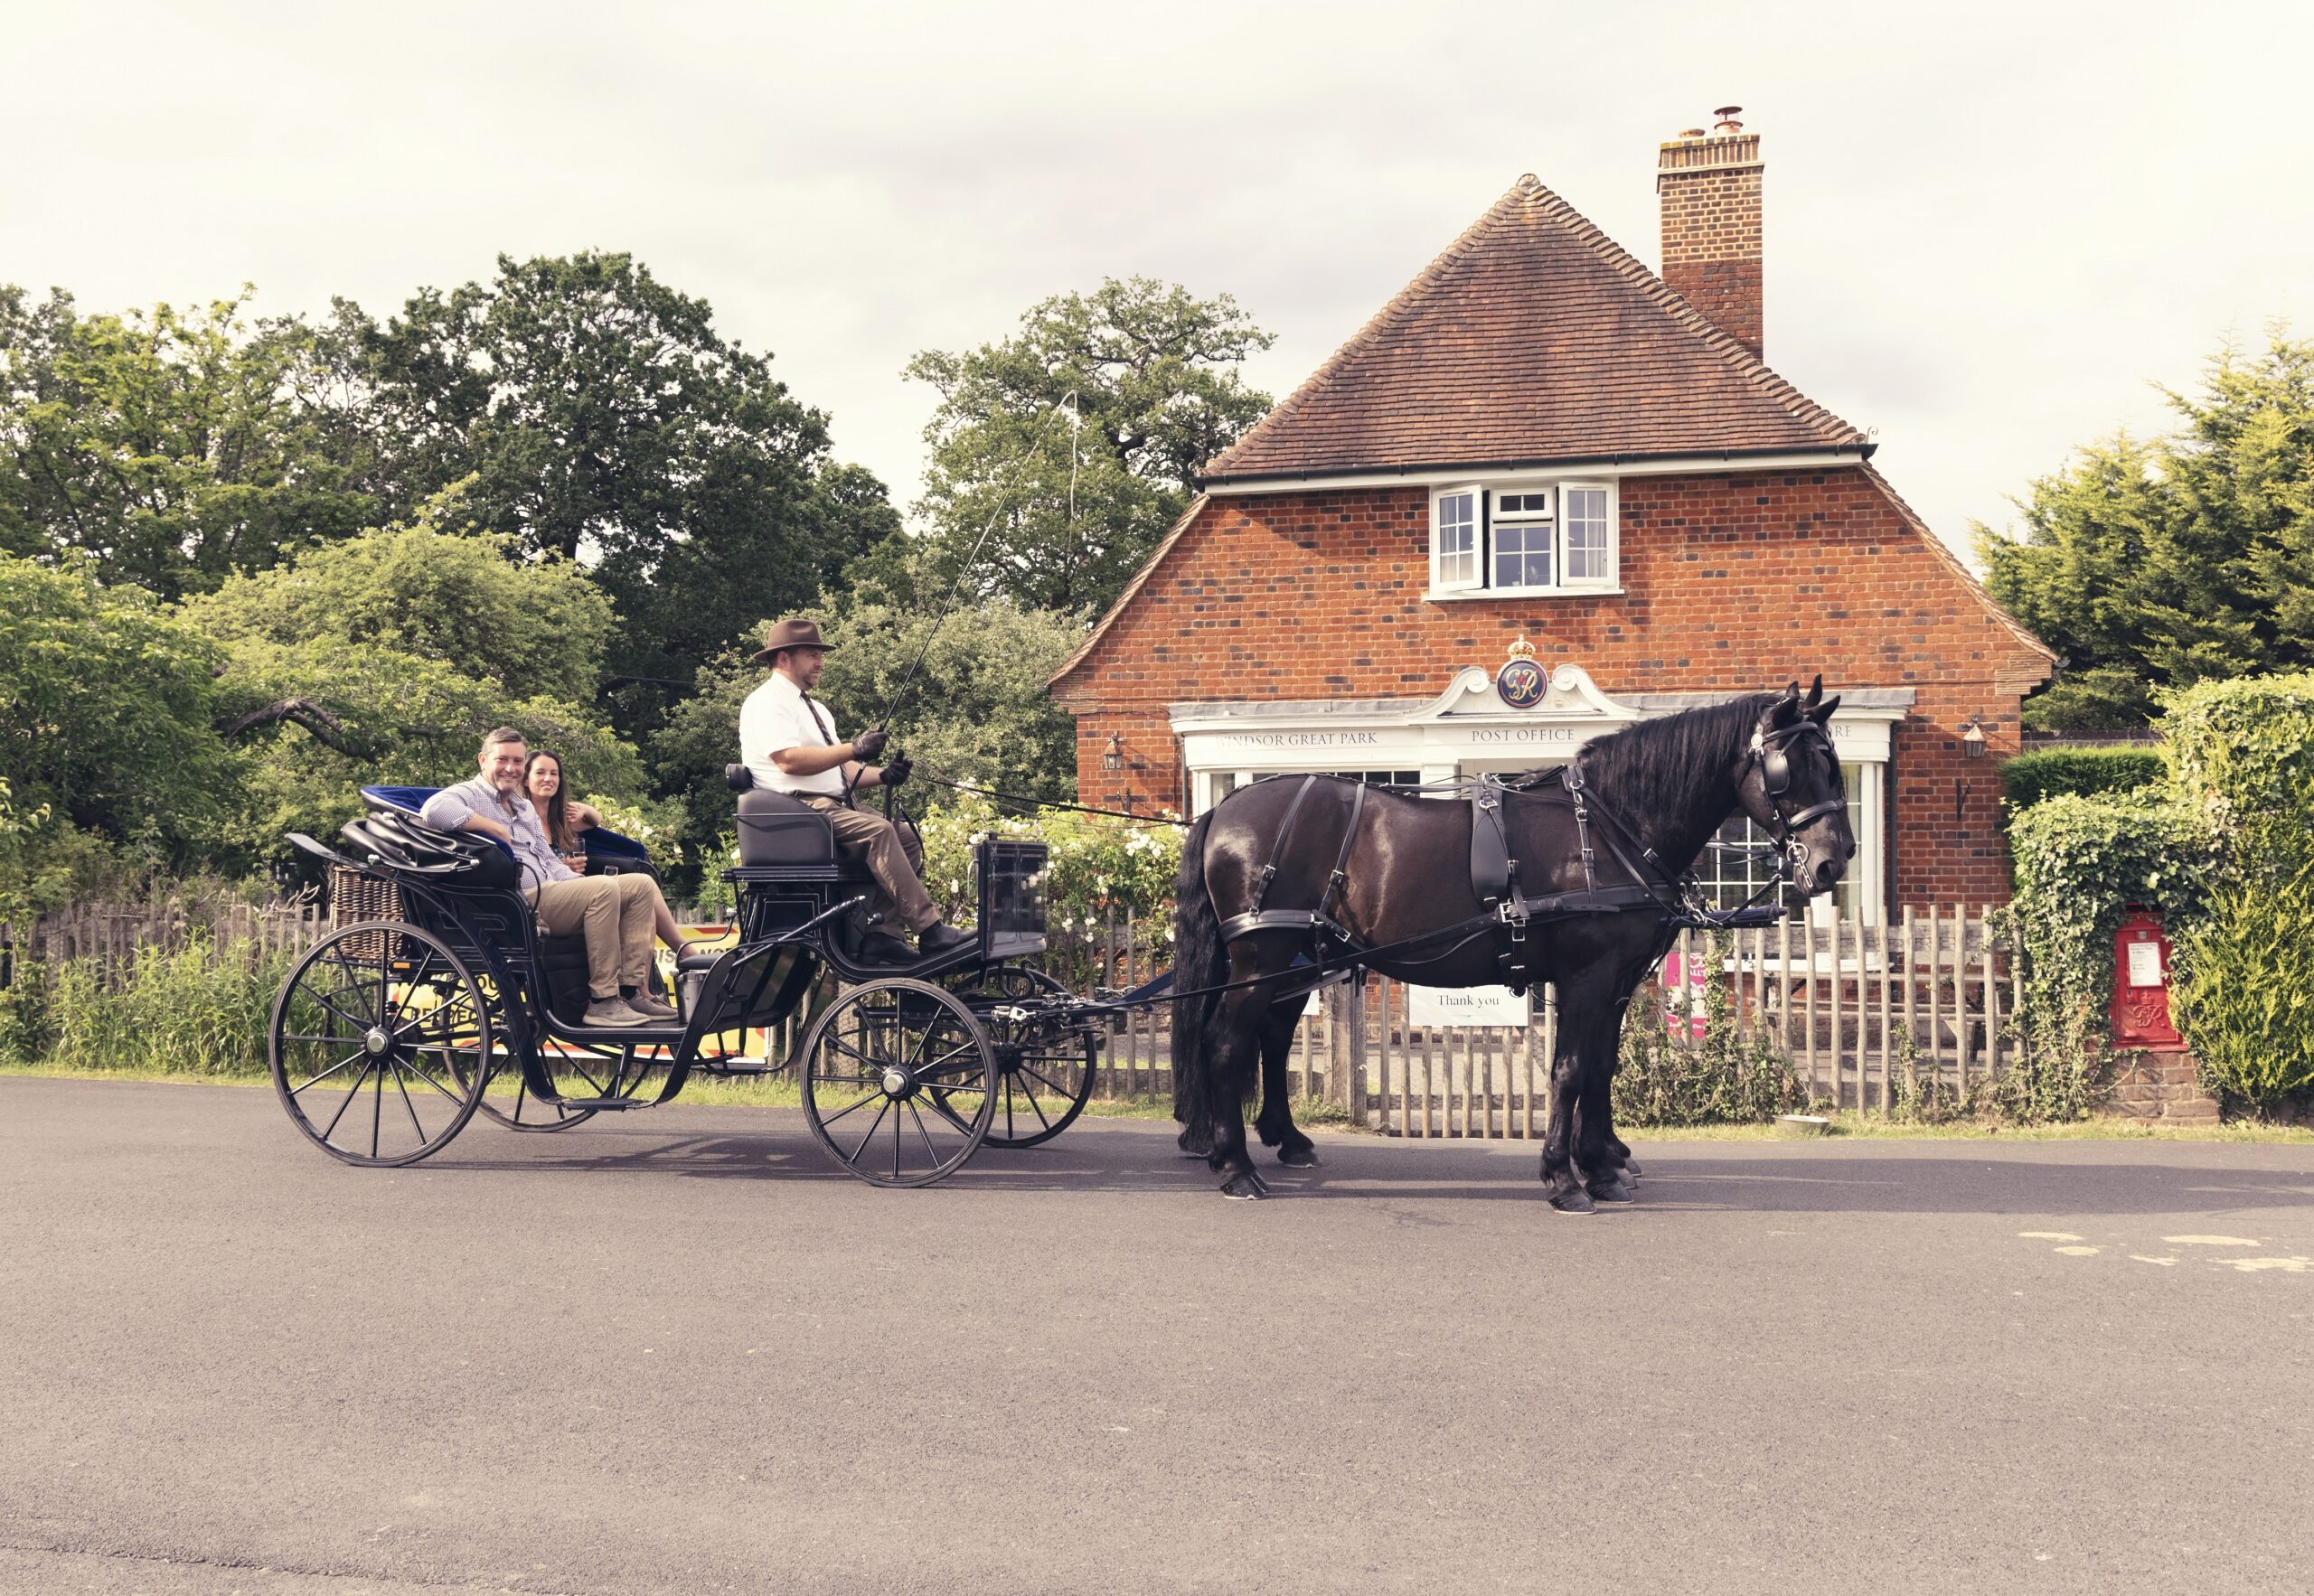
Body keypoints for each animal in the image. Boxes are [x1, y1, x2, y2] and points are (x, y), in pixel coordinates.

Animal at [1175, 675, 1860, 1202]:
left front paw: (1603, 1164)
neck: (1610, 824)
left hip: (1293, 959)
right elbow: (1572, 1069)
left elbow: (1601, 1066)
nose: (1835, 861)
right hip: (1261, 957)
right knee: (1225, 1042)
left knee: (1267, 1037)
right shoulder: (1588, 975)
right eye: (1792, 768)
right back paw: (1235, 1167)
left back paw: (1276, 1143)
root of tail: (1225, 809)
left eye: (1834, 767)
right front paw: (1564, 1177)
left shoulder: (1615, 980)